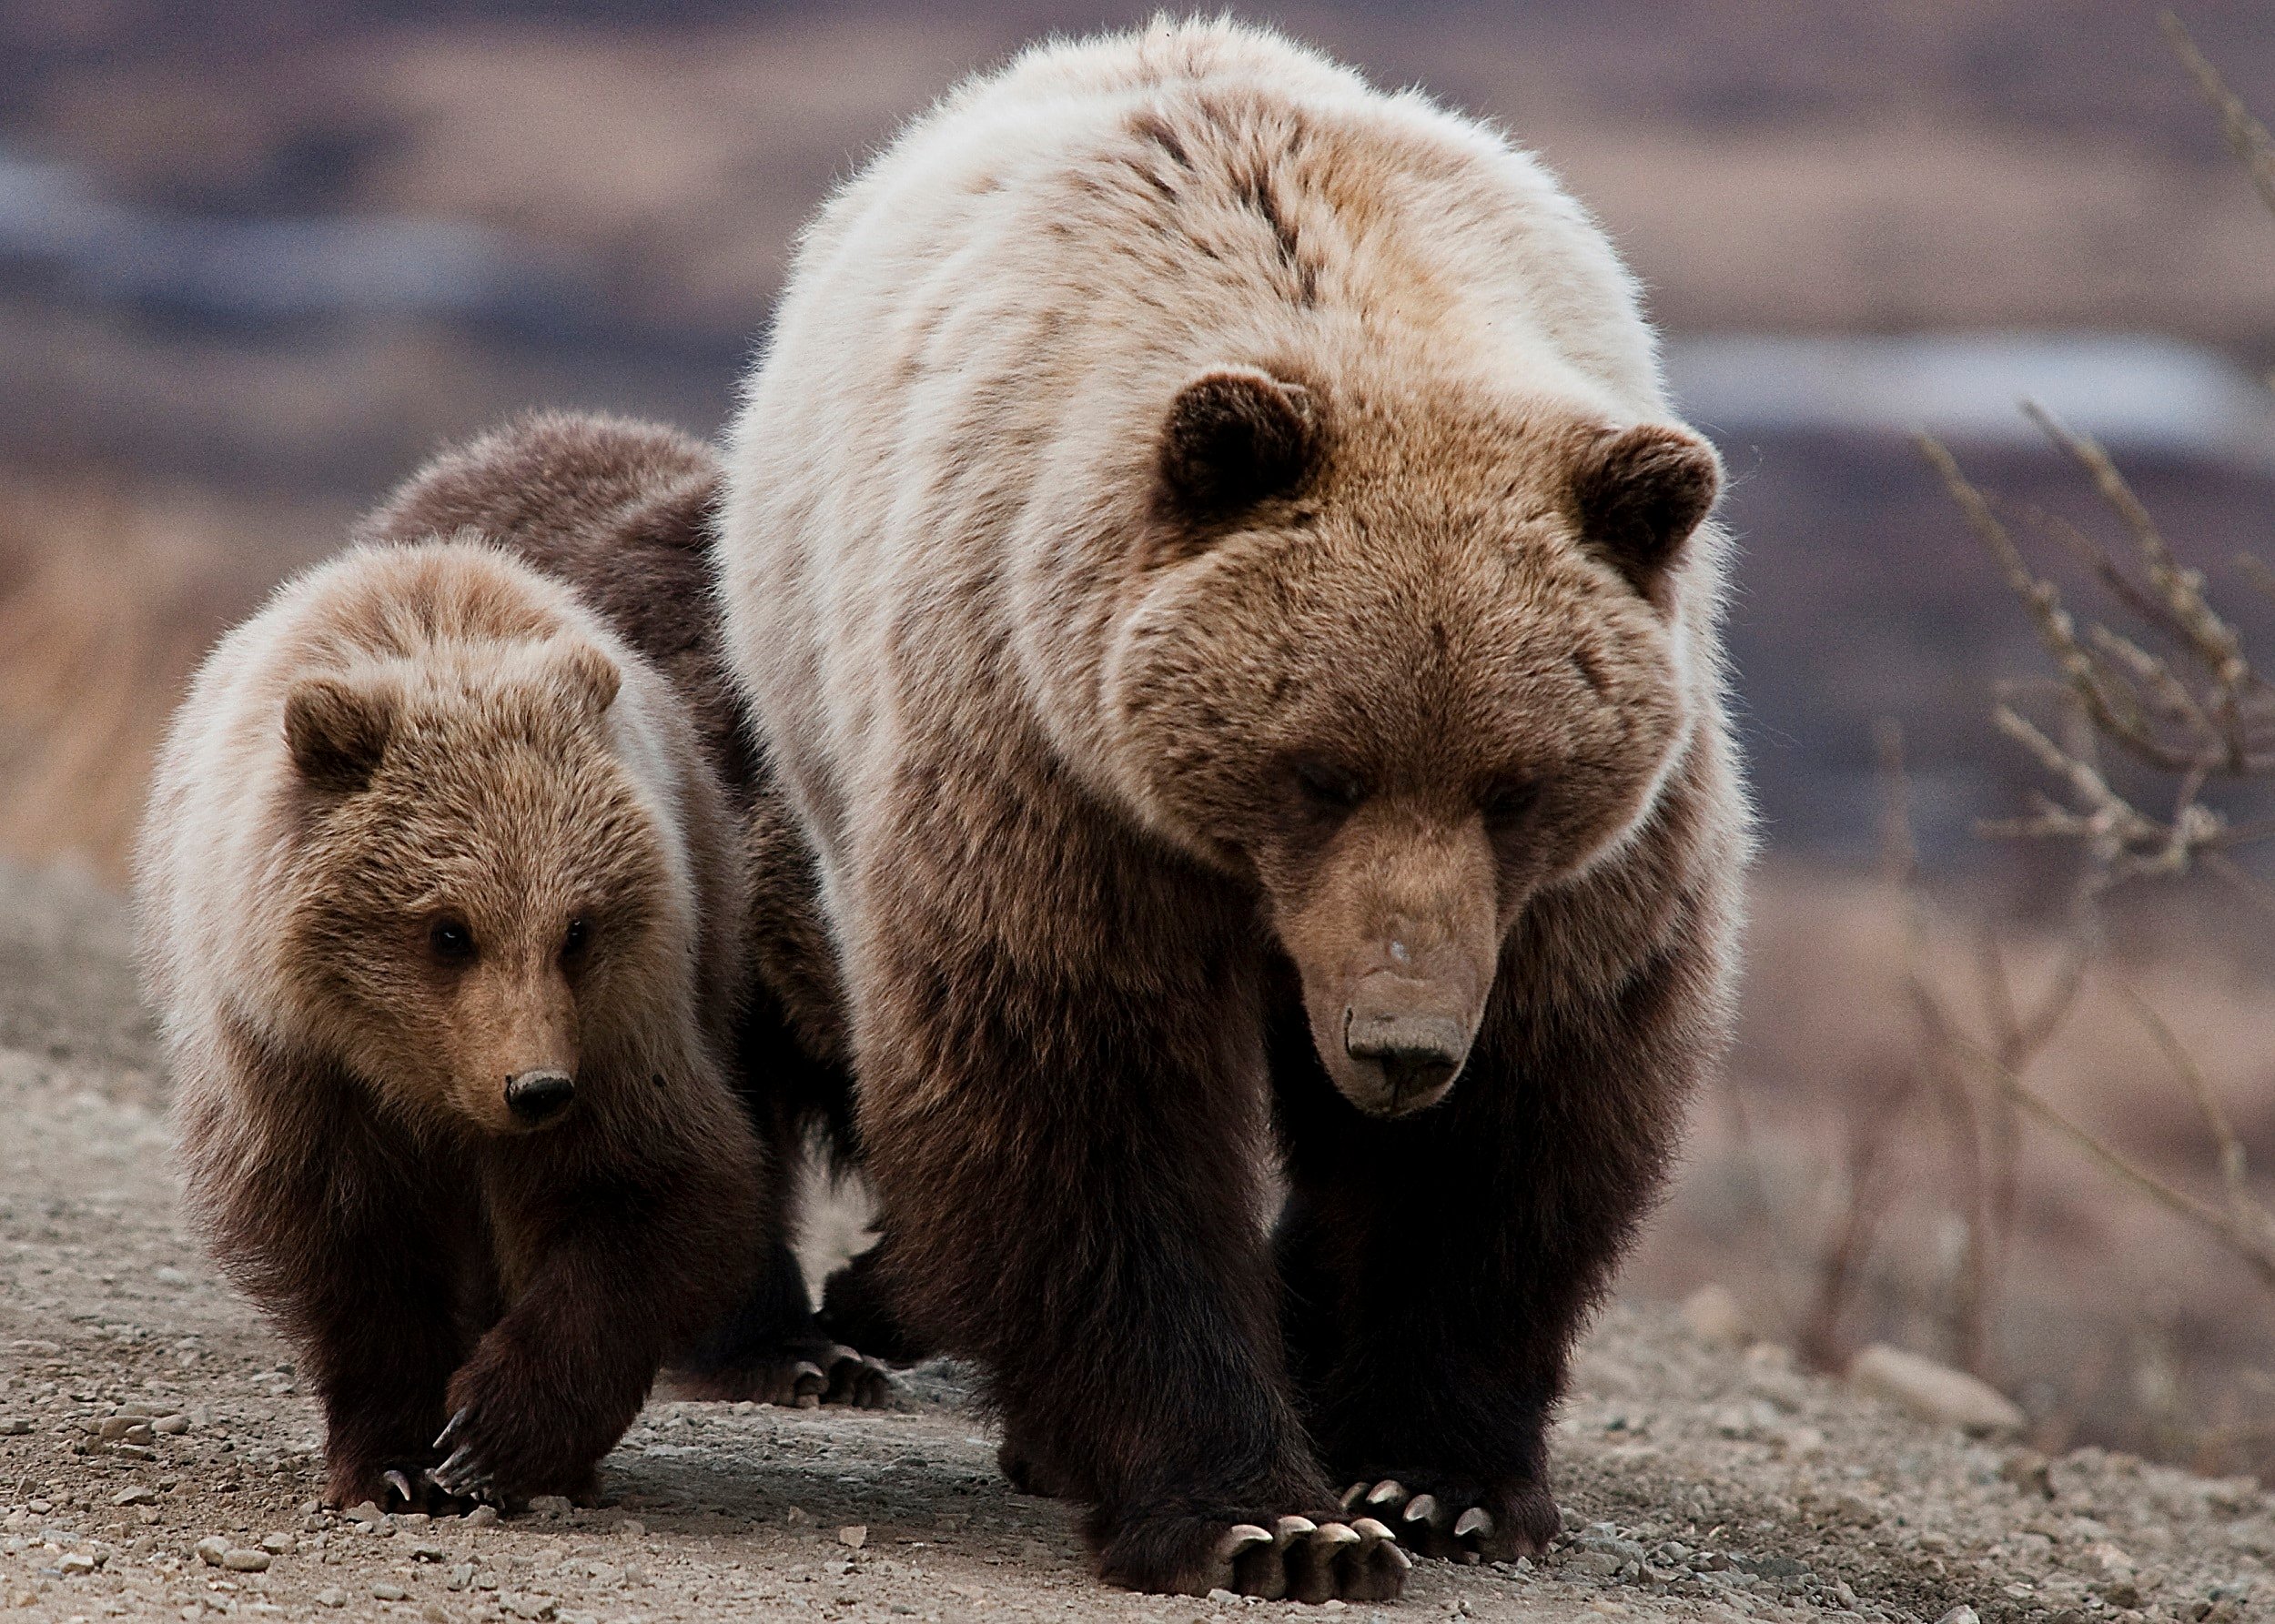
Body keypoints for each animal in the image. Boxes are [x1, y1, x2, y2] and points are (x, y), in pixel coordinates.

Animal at [148, 537, 774, 1501]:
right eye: (449, 930)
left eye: (576, 928)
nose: (536, 1087)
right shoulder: (299, 1065)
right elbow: (351, 1244)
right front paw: (399, 1458)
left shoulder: (622, 1035)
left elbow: (637, 1195)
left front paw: (497, 1434)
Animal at [719, 18, 1747, 1601]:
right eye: (1319, 766)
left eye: (1516, 783)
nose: (1397, 1045)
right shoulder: (1053, 763)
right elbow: (1090, 1105)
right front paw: (1266, 1518)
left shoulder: (1578, 883)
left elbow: (1520, 1119)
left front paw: (1431, 1478)